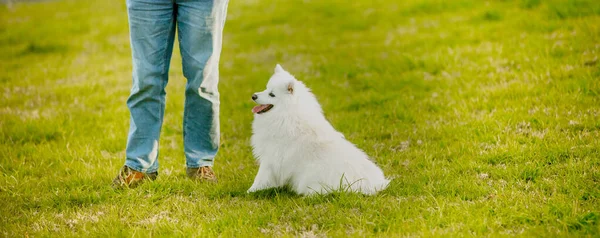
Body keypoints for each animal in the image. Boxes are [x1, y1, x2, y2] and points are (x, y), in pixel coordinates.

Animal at [247, 65, 392, 195]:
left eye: (272, 94)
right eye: (266, 88)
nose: (253, 96)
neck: (287, 114)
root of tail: (373, 184)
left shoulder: (271, 158)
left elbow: (260, 177)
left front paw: (251, 191)